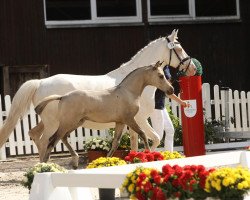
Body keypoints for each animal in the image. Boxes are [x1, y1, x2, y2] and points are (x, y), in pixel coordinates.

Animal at [35, 61, 173, 164]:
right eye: (161, 76)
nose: (171, 90)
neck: (128, 92)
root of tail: (63, 97)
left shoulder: (120, 122)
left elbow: (115, 143)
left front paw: (106, 160)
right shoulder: (130, 119)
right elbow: (143, 134)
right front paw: (149, 154)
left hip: (75, 123)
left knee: (62, 138)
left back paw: (74, 161)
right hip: (67, 123)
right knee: (52, 139)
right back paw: (45, 163)